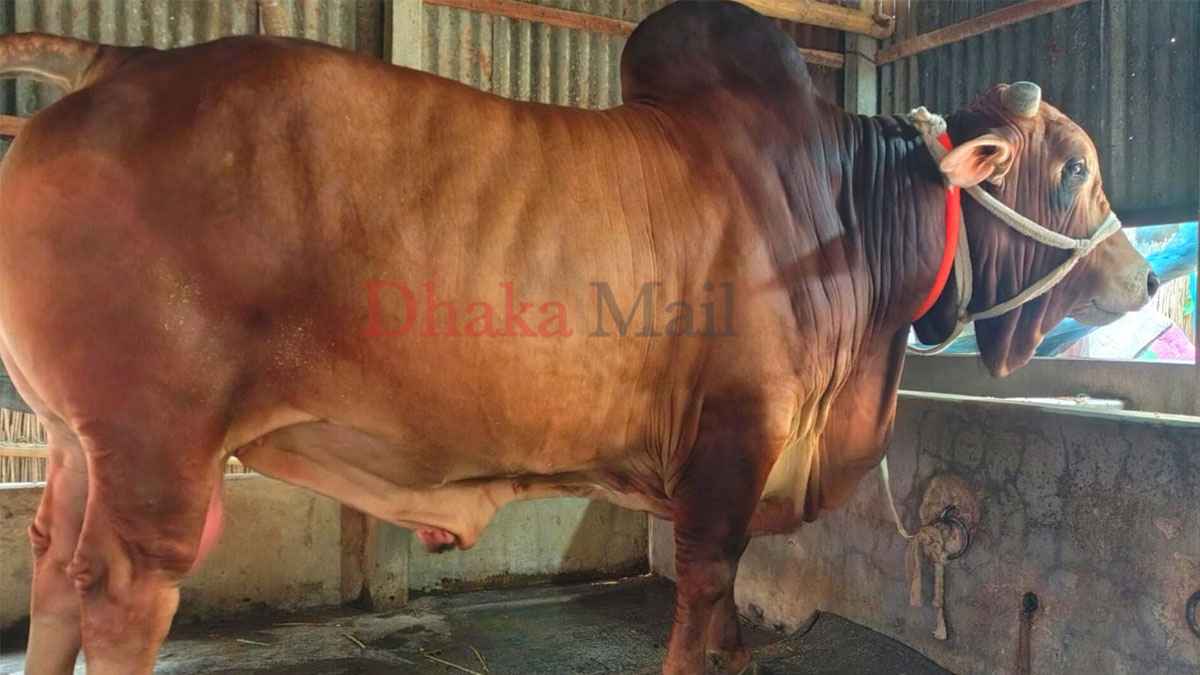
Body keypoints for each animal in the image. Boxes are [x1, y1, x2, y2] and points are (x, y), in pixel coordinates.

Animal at [0, 2, 1155, 674]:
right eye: (1075, 169)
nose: (1145, 273)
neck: (845, 208)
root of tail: (110, 62)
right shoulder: (730, 453)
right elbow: (703, 607)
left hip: (71, 439)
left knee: (54, 570)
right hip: (155, 447)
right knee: (123, 596)